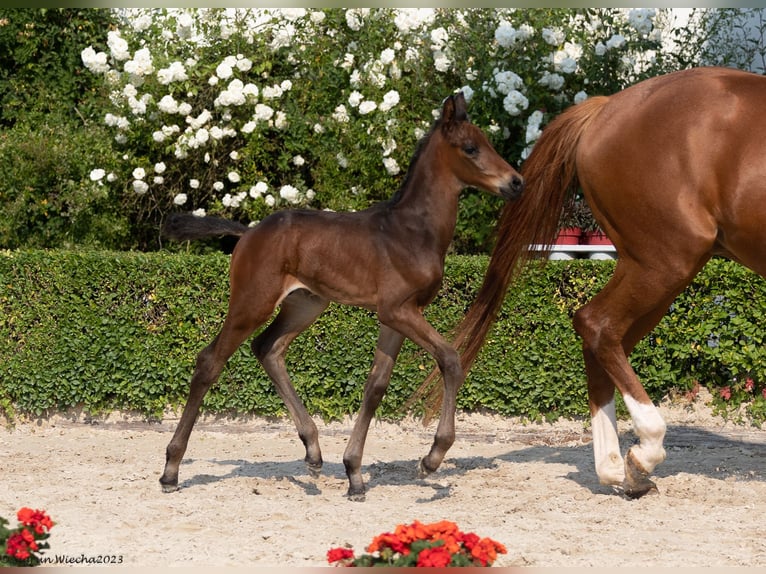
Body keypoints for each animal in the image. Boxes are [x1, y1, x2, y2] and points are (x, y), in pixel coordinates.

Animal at [158, 92, 524, 502]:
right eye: (471, 148)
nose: (516, 183)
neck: (413, 230)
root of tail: (248, 232)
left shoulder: (395, 315)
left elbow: (376, 385)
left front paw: (354, 474)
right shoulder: (398, 310)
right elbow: (450, 359)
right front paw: (431, 458)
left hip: (305, 303)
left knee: (268, 348)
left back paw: (313, 451)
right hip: (253, 302)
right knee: (210, 361)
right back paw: (171, 470)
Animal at [416, 67, 766, 500]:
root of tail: (606, 109)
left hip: (655, 269)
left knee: (601, 338)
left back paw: (617, 469)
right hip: (666, 261)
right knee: (597, 326)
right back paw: (640, 455)